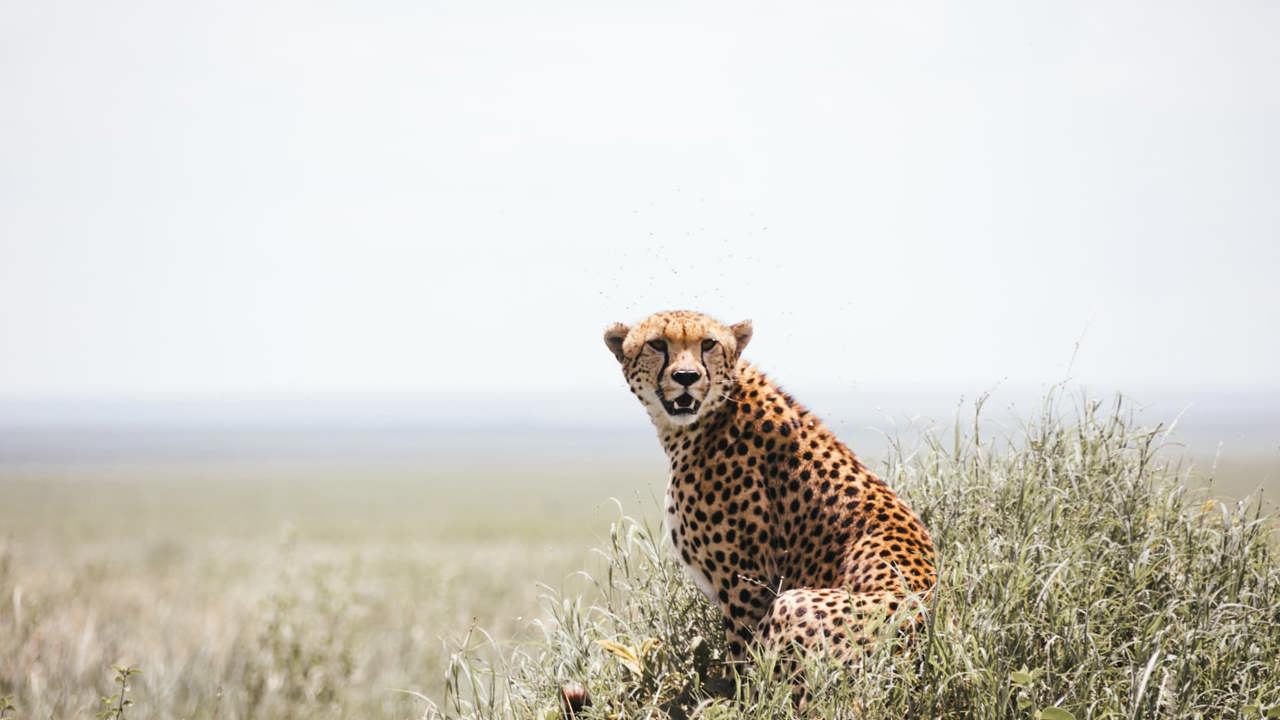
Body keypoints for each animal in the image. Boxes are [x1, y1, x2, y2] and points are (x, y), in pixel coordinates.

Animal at [603, 310, 937, 666]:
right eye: (656, 344)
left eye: (708, 344)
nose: (686, 376)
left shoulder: (748, 584)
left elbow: (743, 664)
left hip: (792, 603)